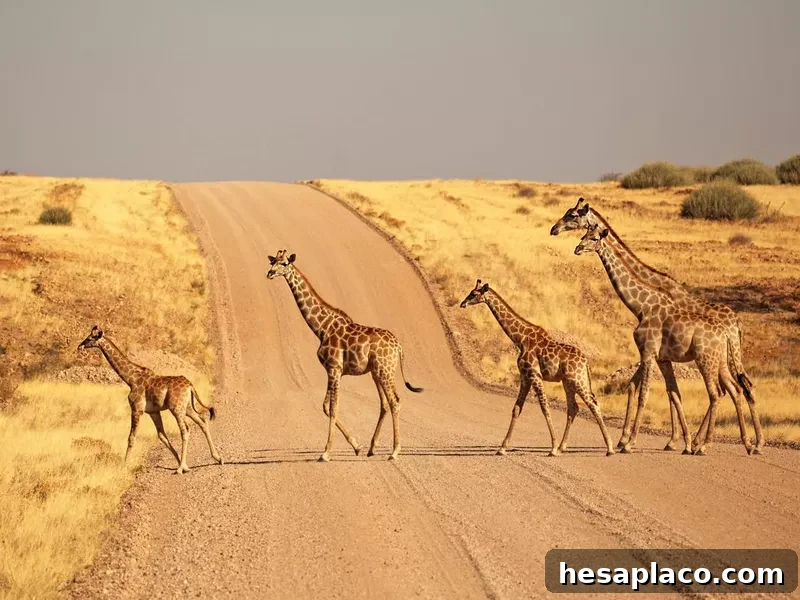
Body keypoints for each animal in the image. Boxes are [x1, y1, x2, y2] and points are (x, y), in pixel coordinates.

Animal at [77, 326, 223, 474]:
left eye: (89, 338)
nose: (79, 346)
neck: (130, 379)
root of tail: (190, 386)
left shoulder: (137, 409)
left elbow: (131, 437)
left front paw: (124, 465)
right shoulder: (153, 412)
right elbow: (162, 436)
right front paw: (178, 460)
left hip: (176, 408)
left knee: (185, 430)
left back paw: (182, 468)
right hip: (186, 407)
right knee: (202, 421)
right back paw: (217, 458)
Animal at [266, 249, 423, 461]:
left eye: (284, 264)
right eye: (273, 261)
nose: (269, 273)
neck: (322, 328)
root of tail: (399, 347)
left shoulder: (334, 368)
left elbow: (333, 407)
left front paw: (326, 453)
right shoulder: (333, 371)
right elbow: (326, 406)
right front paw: (357, 446)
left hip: (386, 370)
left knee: (395, 401)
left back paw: (395, 451)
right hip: (376, 372)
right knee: (384, 404)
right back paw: (372, 448)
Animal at [460, 280, 615, 456]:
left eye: (473, 293)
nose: (462, 303)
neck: (520, 339)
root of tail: (586, 362)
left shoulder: (534, 375)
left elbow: (544, 407)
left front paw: (552, 447)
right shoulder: (525, 376)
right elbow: (516, 408)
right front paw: (502, 448)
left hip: (577, 380)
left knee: (593, 404)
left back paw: (609, 448)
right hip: (568, 382)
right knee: (573, 408)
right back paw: (563, 447)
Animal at [551, 197, 759, 453]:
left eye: (572, 215)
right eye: (582, 233)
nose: (554, 229)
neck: (644, 304)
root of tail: (735, 324)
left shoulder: (650, 352)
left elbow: (648, 393)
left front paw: (634, 442)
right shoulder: (660, 356)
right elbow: (663, 391)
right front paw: (668, 440)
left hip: (713, 359)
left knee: (725, 391)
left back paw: (716, 443)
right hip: (722, 360)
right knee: (739, 388)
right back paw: (748, 443)